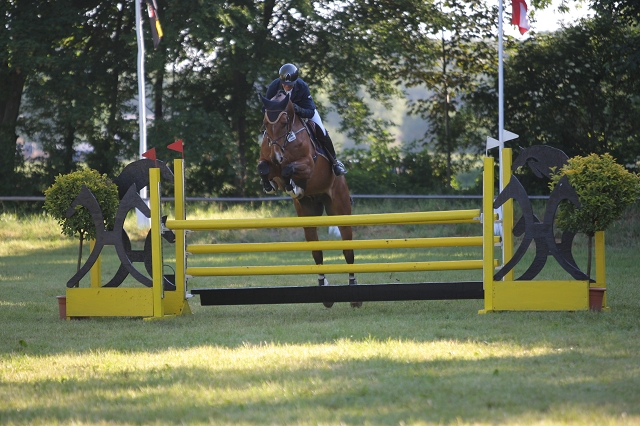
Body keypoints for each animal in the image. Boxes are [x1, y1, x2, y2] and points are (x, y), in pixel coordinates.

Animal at [258, 91, 360, 308]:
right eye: (265, 123)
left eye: (285, 122)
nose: (277, 156)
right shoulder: (269, 164)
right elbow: (264, 168)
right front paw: (272, 185)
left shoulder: (307, 164)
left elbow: (289, 169)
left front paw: (293, 185)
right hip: (308, 214)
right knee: (317, 252)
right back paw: (325, 293)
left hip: (340, 209)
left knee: (348, 251)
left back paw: (354, 294)